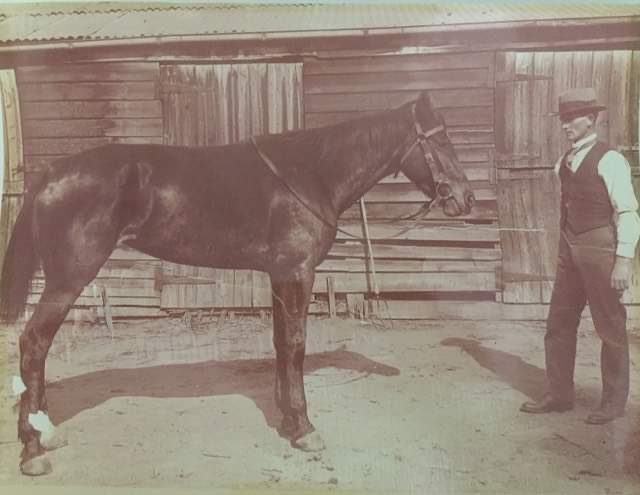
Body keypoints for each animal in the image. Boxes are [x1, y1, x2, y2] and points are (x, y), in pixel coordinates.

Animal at [1, 90, 476, 476]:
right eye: (440, 140)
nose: (465, 198)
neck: (311, 173)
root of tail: (51, 172)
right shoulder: (297, 272)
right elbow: (296, 344)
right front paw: (305, 429)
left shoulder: (279, 276)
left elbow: (282, 344)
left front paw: (288, 421)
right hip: (68, 280)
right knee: (34, 344)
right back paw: (33, 451)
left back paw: (44, 434)